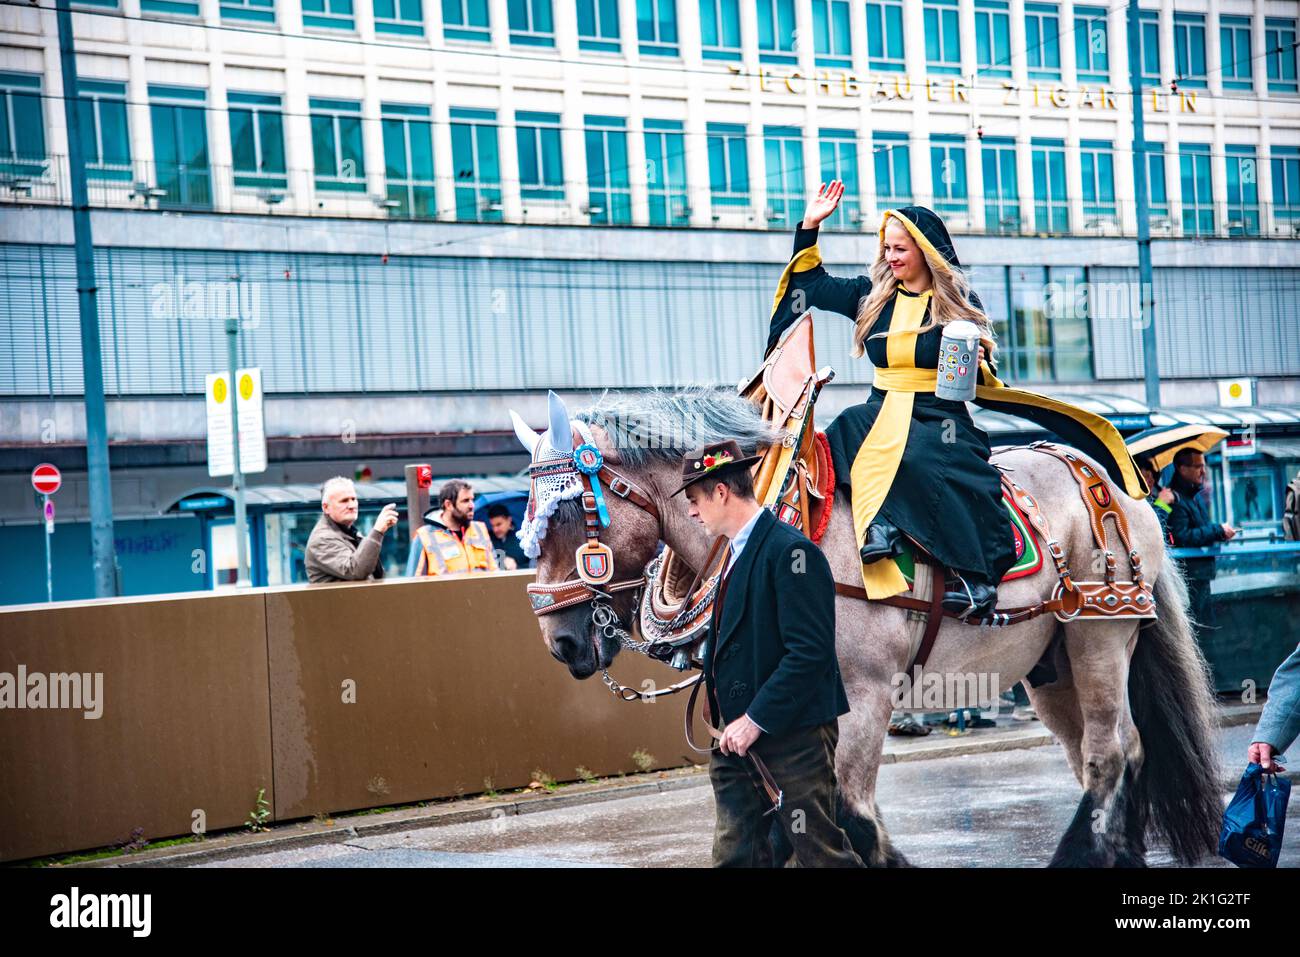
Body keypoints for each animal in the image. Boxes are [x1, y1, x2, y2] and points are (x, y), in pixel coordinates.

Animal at [512, 384, 1222, 863]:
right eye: (528, 524)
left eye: (570, 512)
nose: (561, 642)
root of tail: (1110, 479)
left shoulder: (864, 694)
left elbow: (848, 815)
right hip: (1052, 667)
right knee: (1111, 754)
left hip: (1098, 636)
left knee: (1110, 754)